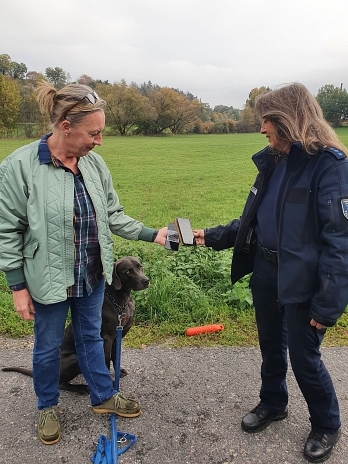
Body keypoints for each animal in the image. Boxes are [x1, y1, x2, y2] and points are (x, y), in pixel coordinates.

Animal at [2, 256, 150, 394]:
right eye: (127, 271)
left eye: (140, 266)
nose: (146, 280)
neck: (121, 301)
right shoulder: (107, 337)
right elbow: (107, 359)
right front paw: (109, 381)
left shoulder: (118, 335)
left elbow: (115, 356)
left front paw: (119, 371)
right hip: (74, 358)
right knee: (62, 384)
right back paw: (81, 388)